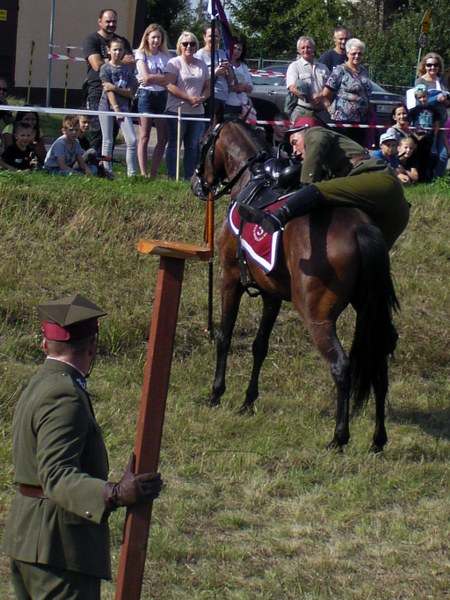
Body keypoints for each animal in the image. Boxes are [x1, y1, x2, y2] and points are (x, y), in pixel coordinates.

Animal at [191, 117, 400, 453]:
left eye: (203, 142)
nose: (196, 183)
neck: (251, 180)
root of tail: (361, 228)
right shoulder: (272, 296)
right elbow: (259, 346)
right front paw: (248, 401)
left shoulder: (230, 279)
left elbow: (224, 336)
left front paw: (216, 393)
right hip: (371, 313)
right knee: (378, 365)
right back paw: (378, 440)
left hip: (316, 316)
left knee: (342, 366)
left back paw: (339, 437)